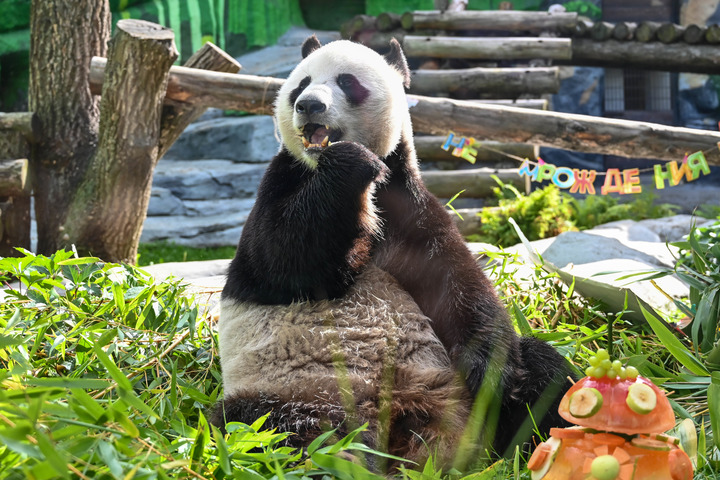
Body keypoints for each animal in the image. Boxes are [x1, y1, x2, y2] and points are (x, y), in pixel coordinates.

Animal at [212, 34, 572, 468]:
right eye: (301, 84)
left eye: (347, 82)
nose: (308, 105)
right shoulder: (281, 182)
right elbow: (280, 260)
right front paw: (350, 163)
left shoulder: (410, 208)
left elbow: (458, 283)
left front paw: (490, 373)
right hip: (294, 393)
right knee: (272, 428)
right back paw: (337, 459)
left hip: (459, 399)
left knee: (545, 374)